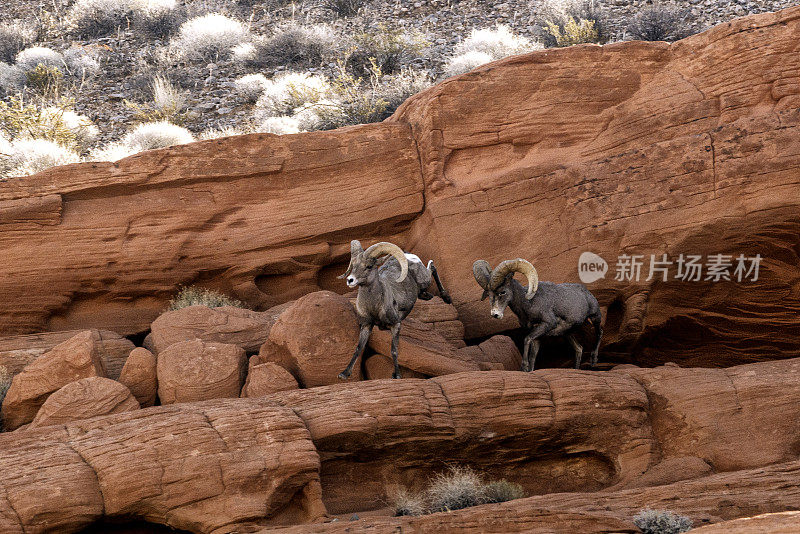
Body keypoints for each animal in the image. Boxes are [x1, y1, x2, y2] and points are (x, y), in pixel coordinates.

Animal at [336, 241, 450, 384]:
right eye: (353, 266)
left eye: (369, 266)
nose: (350, 280)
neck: (374, 307)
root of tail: (408, 256)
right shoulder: (366, 326)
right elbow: (358, 348)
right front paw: (344, 374)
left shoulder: (396, 325)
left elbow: (394, 350)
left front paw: (397, 375)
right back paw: (428, 296)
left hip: (425, 280)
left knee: (432, 266)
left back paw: (446, 298)